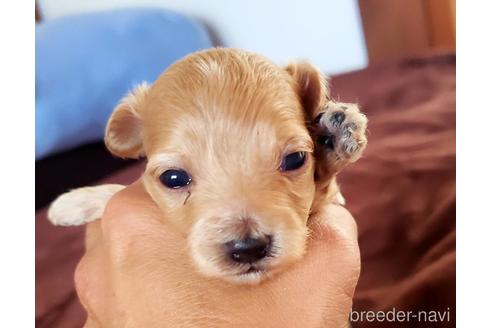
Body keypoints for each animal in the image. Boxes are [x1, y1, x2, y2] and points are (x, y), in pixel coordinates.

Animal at [48, 48, 368, 284]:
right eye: (173, 178)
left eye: (295, 159)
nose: (248, 249)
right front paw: (75, 202)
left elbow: (324, 188)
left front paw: (335, 138)